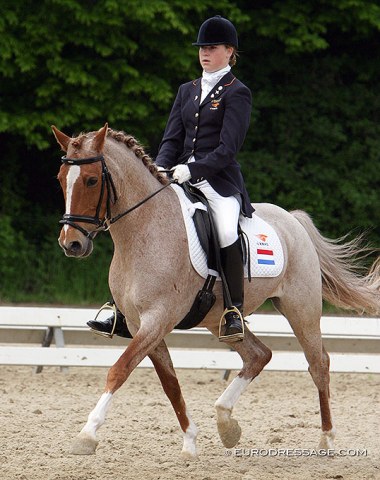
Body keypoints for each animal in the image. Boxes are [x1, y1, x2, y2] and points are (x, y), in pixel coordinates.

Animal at [52, 123, 378, 458]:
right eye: (61, 179)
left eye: (92, 180)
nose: (71, 244)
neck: (145, 231)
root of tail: (293, 219)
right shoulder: (138, 323)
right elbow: (170, 384)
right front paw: (190, 442)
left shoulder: (157, 319)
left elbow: (120, 370)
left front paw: (87, 434)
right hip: (218, 319)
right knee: (259, 355)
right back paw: (226, 423)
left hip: (301, 308)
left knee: (318, 363)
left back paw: (326, 439)